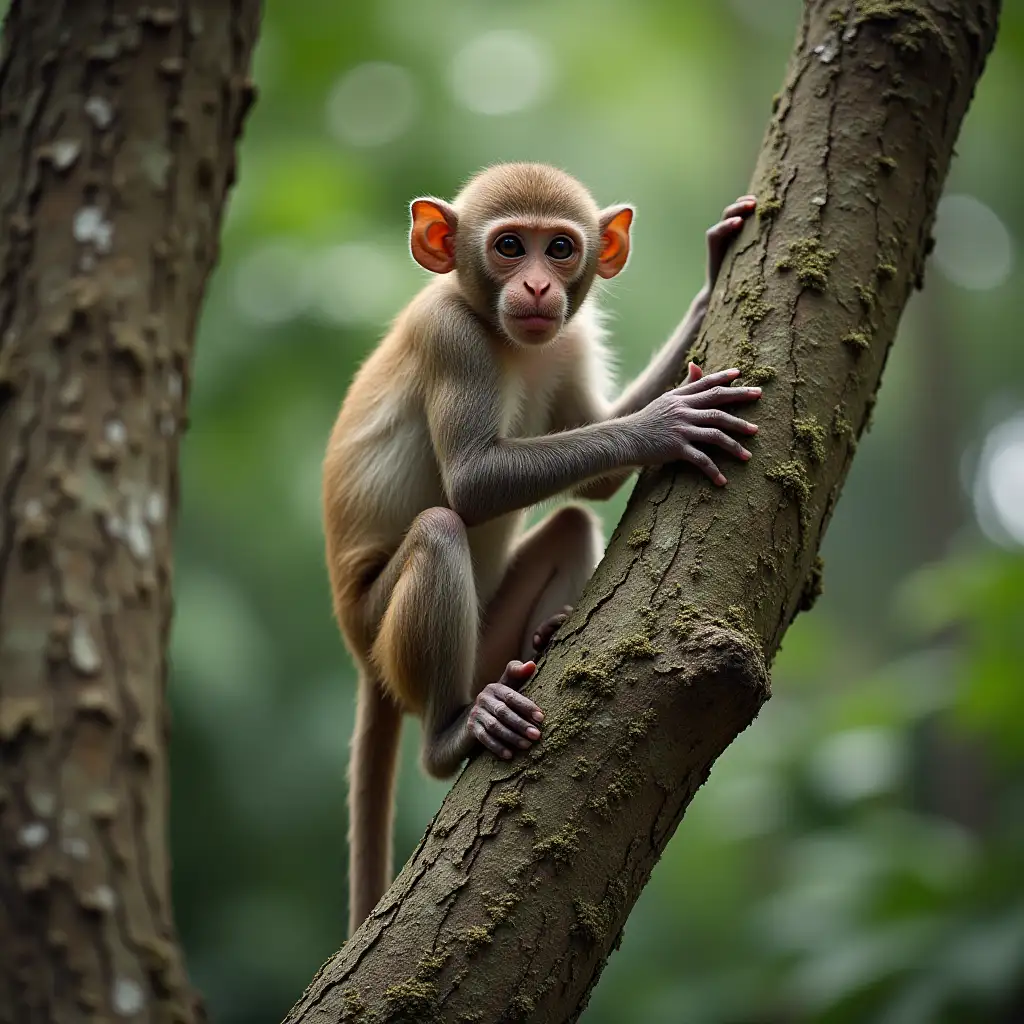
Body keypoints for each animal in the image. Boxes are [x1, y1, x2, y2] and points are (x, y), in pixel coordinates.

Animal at [319, 157, 761, 929]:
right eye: (508, 247)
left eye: (559, 249)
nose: (535, 287)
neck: (503, 338)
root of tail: (364, 656)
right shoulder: (449, 335)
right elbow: (472, 485)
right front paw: (664, 424)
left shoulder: (567, 339)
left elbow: (598, 487)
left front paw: (711, 281)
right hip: (378, 623)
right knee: (438, 530)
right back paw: (453, 734)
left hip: (481, 640)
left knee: (571, 525)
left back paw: (544, 635)